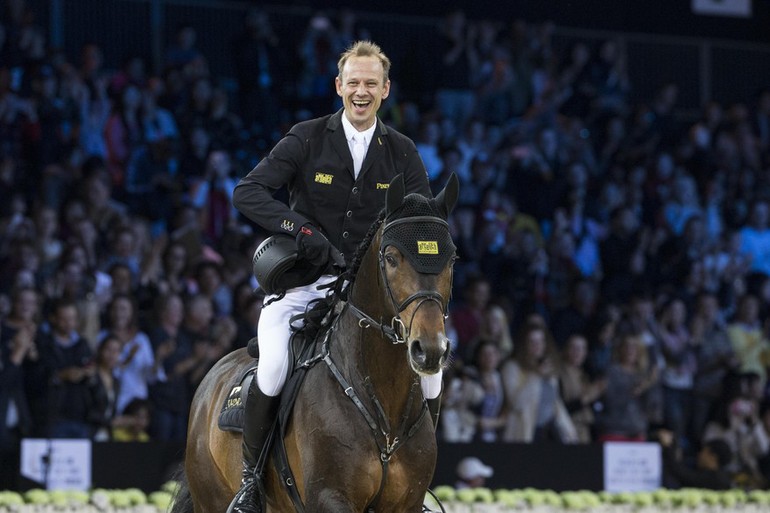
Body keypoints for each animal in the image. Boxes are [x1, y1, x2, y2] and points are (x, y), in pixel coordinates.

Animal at [172, 173, 460, 512]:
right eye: (391, 258)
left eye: (452, 259)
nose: (430, 350)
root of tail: (212, 377)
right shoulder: (330, 498)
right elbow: (250, 189)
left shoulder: (407, 503)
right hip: (211, 497)